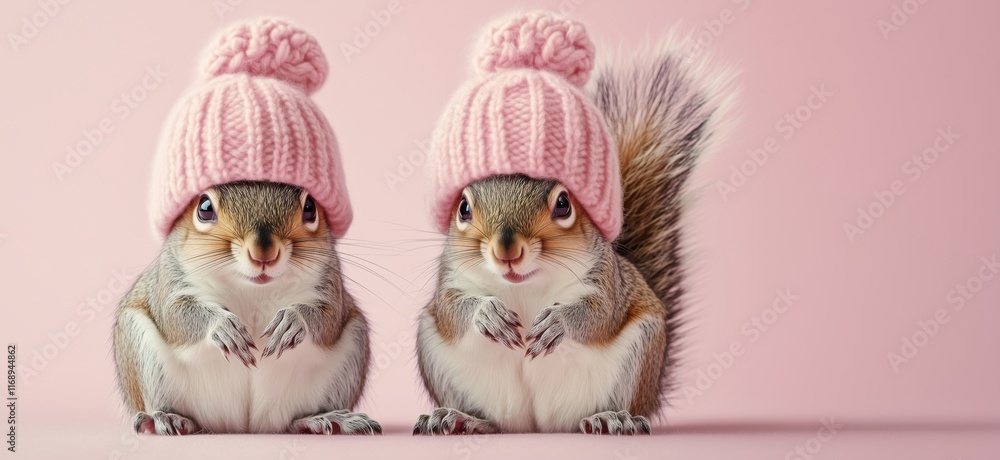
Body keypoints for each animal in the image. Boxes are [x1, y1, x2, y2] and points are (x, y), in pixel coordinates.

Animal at [112, 19, 380, 435]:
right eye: (204, 208)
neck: (253, 290)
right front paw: (220, 326)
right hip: (138, 349)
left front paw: (293, 321)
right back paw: (164, 418)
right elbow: (177, 315)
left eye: (310, 208)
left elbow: (326, 316)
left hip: (352, 349)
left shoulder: (329, 284)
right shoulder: (170, 281)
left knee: (298, 418)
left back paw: (325, 419)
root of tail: (245, 426)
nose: (263, 252)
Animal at [414, 12, 733, 435]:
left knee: (620, 406)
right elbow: (454, 310)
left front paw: (558, 323)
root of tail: (538, 426)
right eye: (463, 208)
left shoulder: (606, 282)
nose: (506, 251)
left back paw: (611, 418)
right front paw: (488, 313)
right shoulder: (450, 280)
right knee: (496, 422)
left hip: (640, 350)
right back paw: (463, 418)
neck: (525, 286)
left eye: (564, 204)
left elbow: (598, 315)